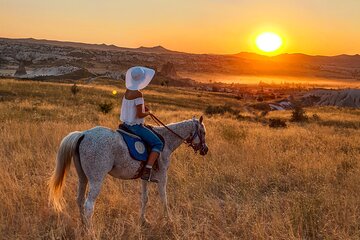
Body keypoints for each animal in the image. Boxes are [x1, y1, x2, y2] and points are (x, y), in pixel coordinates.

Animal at [47, 116, 208, 229]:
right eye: (203, 132)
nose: (205, 150)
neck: (166, 141)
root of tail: (83, 134)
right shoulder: (163, 177)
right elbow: (164, 199)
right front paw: (170, 221)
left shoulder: (145, 178)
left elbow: (145, 199)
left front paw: (144, 220)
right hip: (96, 179)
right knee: (89, 205)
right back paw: (90, 230)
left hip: (83, 178)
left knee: (80, 200)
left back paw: (83, 225)